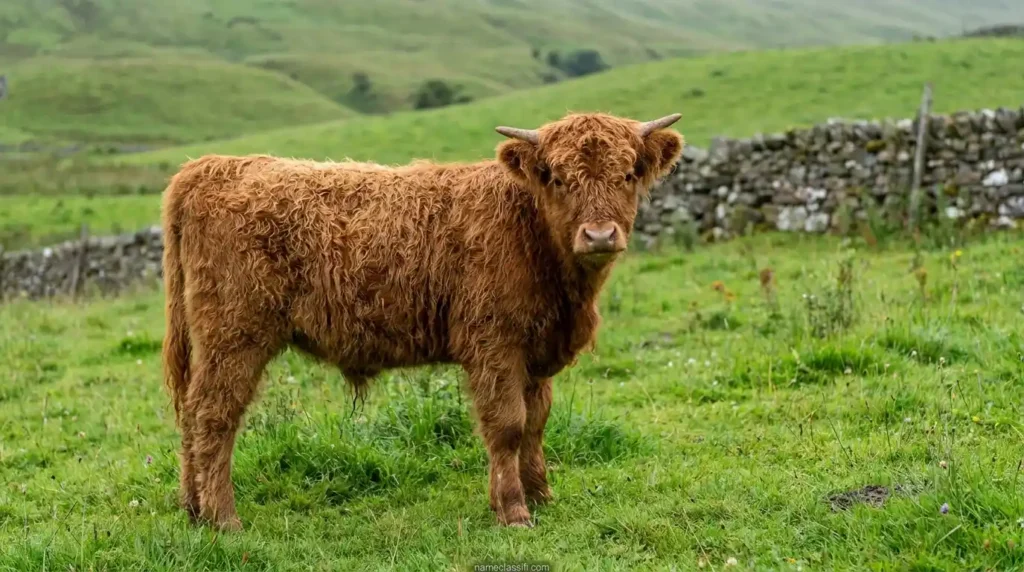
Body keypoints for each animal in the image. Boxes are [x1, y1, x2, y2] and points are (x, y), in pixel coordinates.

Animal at [160, 111, 684, 531]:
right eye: (557, 177)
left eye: (628, 173)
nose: (599, 235)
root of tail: (212, 166)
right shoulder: (494, 345)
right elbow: (508, 425)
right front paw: (514, 510)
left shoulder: (536, 352)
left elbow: (536, 423)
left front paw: (540, 495)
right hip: (235, 337)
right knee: (213, 416)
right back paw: (223, 518)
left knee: (190, 414)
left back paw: (193, 509)